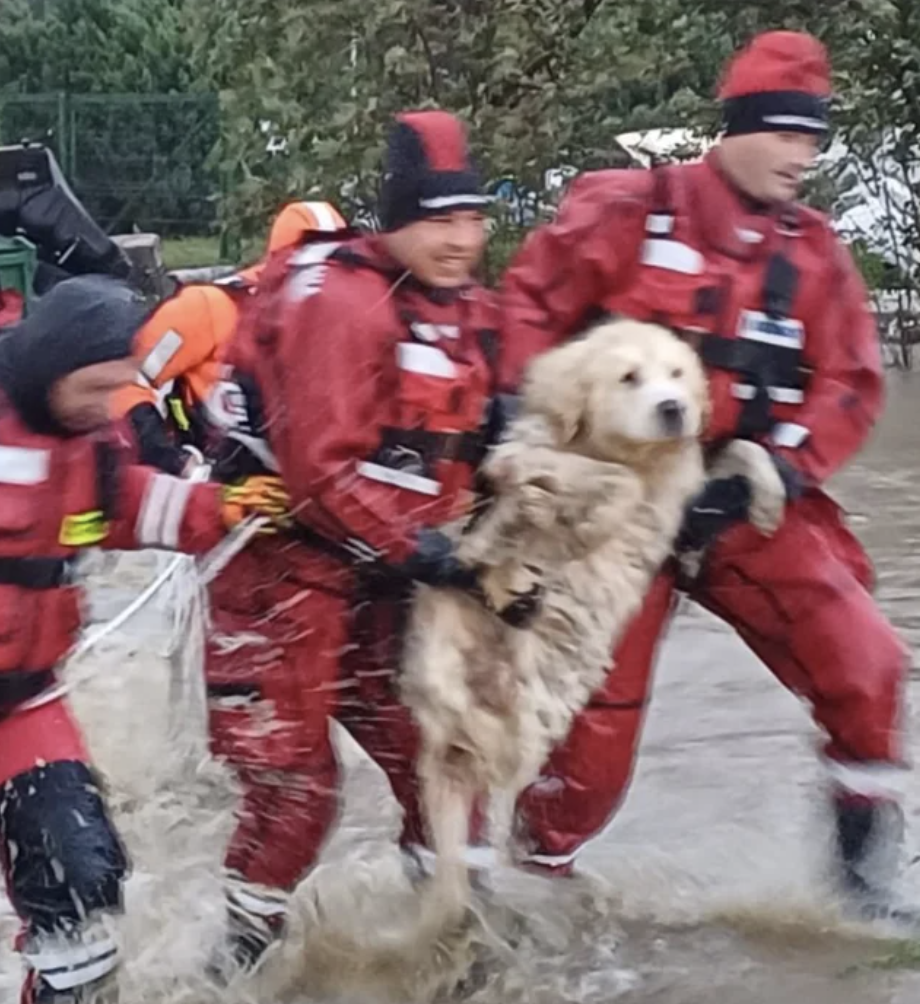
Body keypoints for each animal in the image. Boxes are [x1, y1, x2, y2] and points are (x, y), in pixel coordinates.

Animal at [399, 319, 787, 919]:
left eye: (677, 373)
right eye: (629, 377)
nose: (673, 408)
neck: (628, 453)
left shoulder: (682, 481)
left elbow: (739, 450)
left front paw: (767, 500)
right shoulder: (526, 454)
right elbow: (597, 481)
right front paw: (579, 520)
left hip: (522, 718)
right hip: (459, 663)